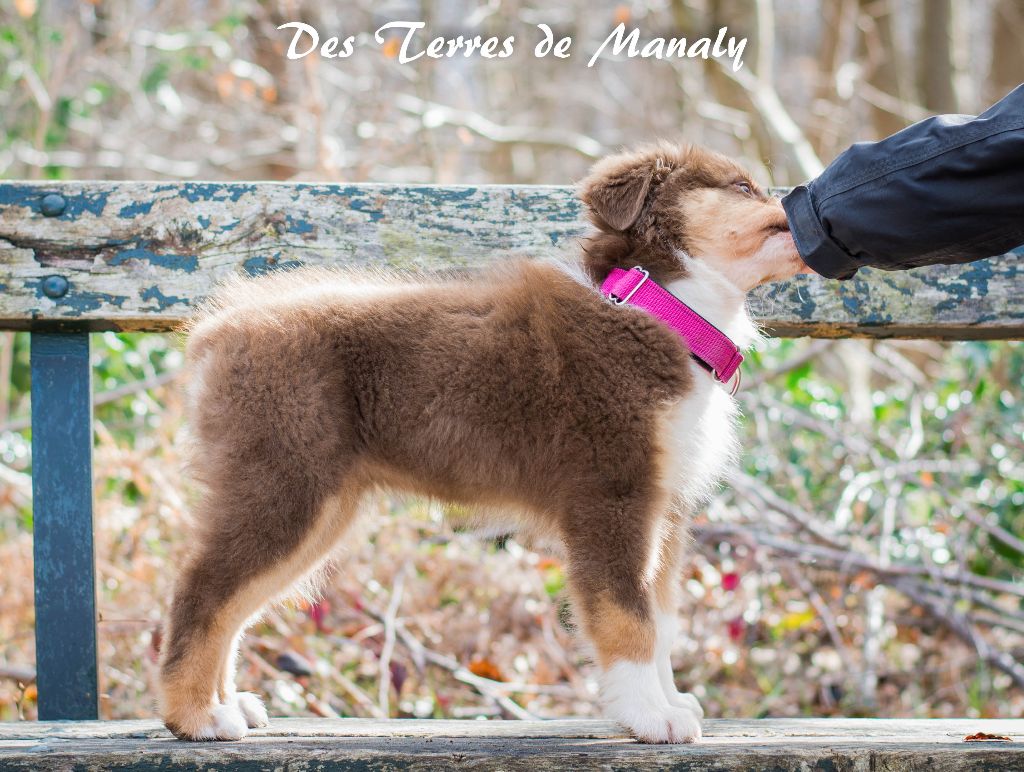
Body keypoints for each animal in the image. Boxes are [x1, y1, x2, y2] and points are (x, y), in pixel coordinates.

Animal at [158, 141, 804, 743]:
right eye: (743, 186)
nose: (798, 200)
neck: (663, 308)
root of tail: (218, 326)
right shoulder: (612, 497)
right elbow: (629, 616)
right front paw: (649, 716)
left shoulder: (664, 510)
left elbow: (662, 619)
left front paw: (669, 701)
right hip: (286, 485)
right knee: (203, 592)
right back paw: (195, 716)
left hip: (319, 505)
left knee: (233, 605)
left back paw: (226, 703)